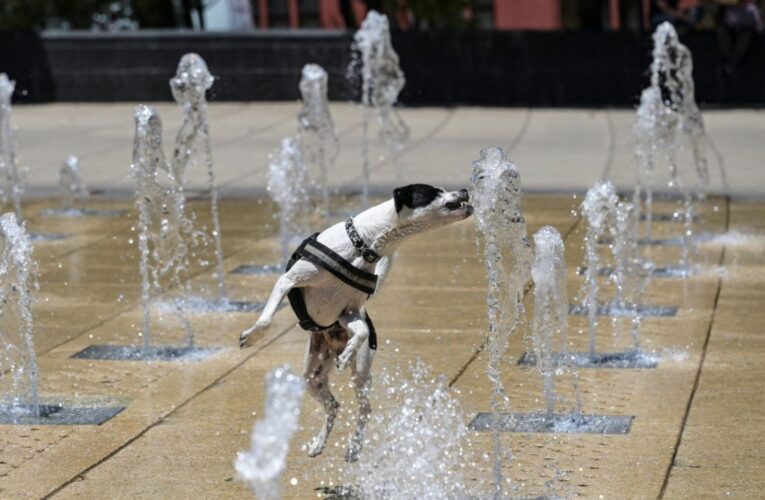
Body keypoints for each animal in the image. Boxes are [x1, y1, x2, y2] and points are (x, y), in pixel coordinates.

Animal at [239, 184, 472, 460]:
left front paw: (349, 351)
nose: (465, 190)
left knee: (362, 408)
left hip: (359, 375)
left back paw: (353, 445)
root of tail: (330, 347)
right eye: (435, 191)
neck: (363, 246)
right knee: (333, 406)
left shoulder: (349, 312)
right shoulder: (289, 281)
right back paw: (319, 443)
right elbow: (265, 320)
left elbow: (361, 332)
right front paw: (252, 336)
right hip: (312, 377)